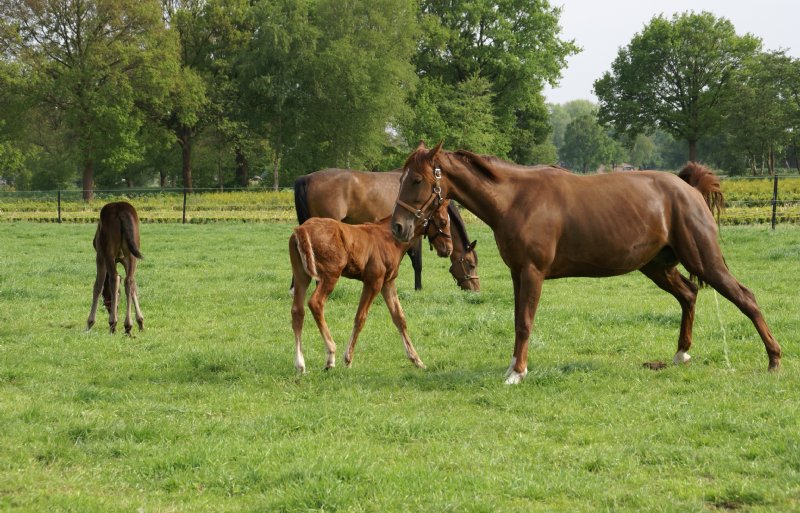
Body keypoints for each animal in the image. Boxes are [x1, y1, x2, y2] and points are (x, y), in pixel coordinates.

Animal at [87, 201, 144, 335]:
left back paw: (113, 323)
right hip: (132, 253)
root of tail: (121, 210)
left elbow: (98, 285)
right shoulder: (123, 260)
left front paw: (90, 322)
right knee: (129, 280)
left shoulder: (100, 256)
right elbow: (133, 285)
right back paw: (128, 325)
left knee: (114, 278)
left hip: (108, 253)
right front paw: (140, 321)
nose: (113, 308)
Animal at [290, 198, 453, 373]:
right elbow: (360, 317)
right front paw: (348, 359)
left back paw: (300, 364)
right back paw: (330, 356)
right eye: (443, 221)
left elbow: (399, 318)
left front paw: (417, 360)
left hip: (301, 276)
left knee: (297, 311)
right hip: (330, 276)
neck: (389, 238)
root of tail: (302, 228)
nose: (448, 248)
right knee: (316, 303)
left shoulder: (388, 283)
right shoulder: (374, 282)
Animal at [391, 142, 781, 384]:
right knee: (689, 294)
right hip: (657, 266)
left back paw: (774, 359)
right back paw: (681, 353)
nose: (398, 226)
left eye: (416, 179)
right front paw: (514, 366)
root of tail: (688, 188)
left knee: (745, 298)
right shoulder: (518, 274)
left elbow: (525, 323)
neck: (516, 199)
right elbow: (518, 321)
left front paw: (517, 373)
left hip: (704, 260)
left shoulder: (532, 273)